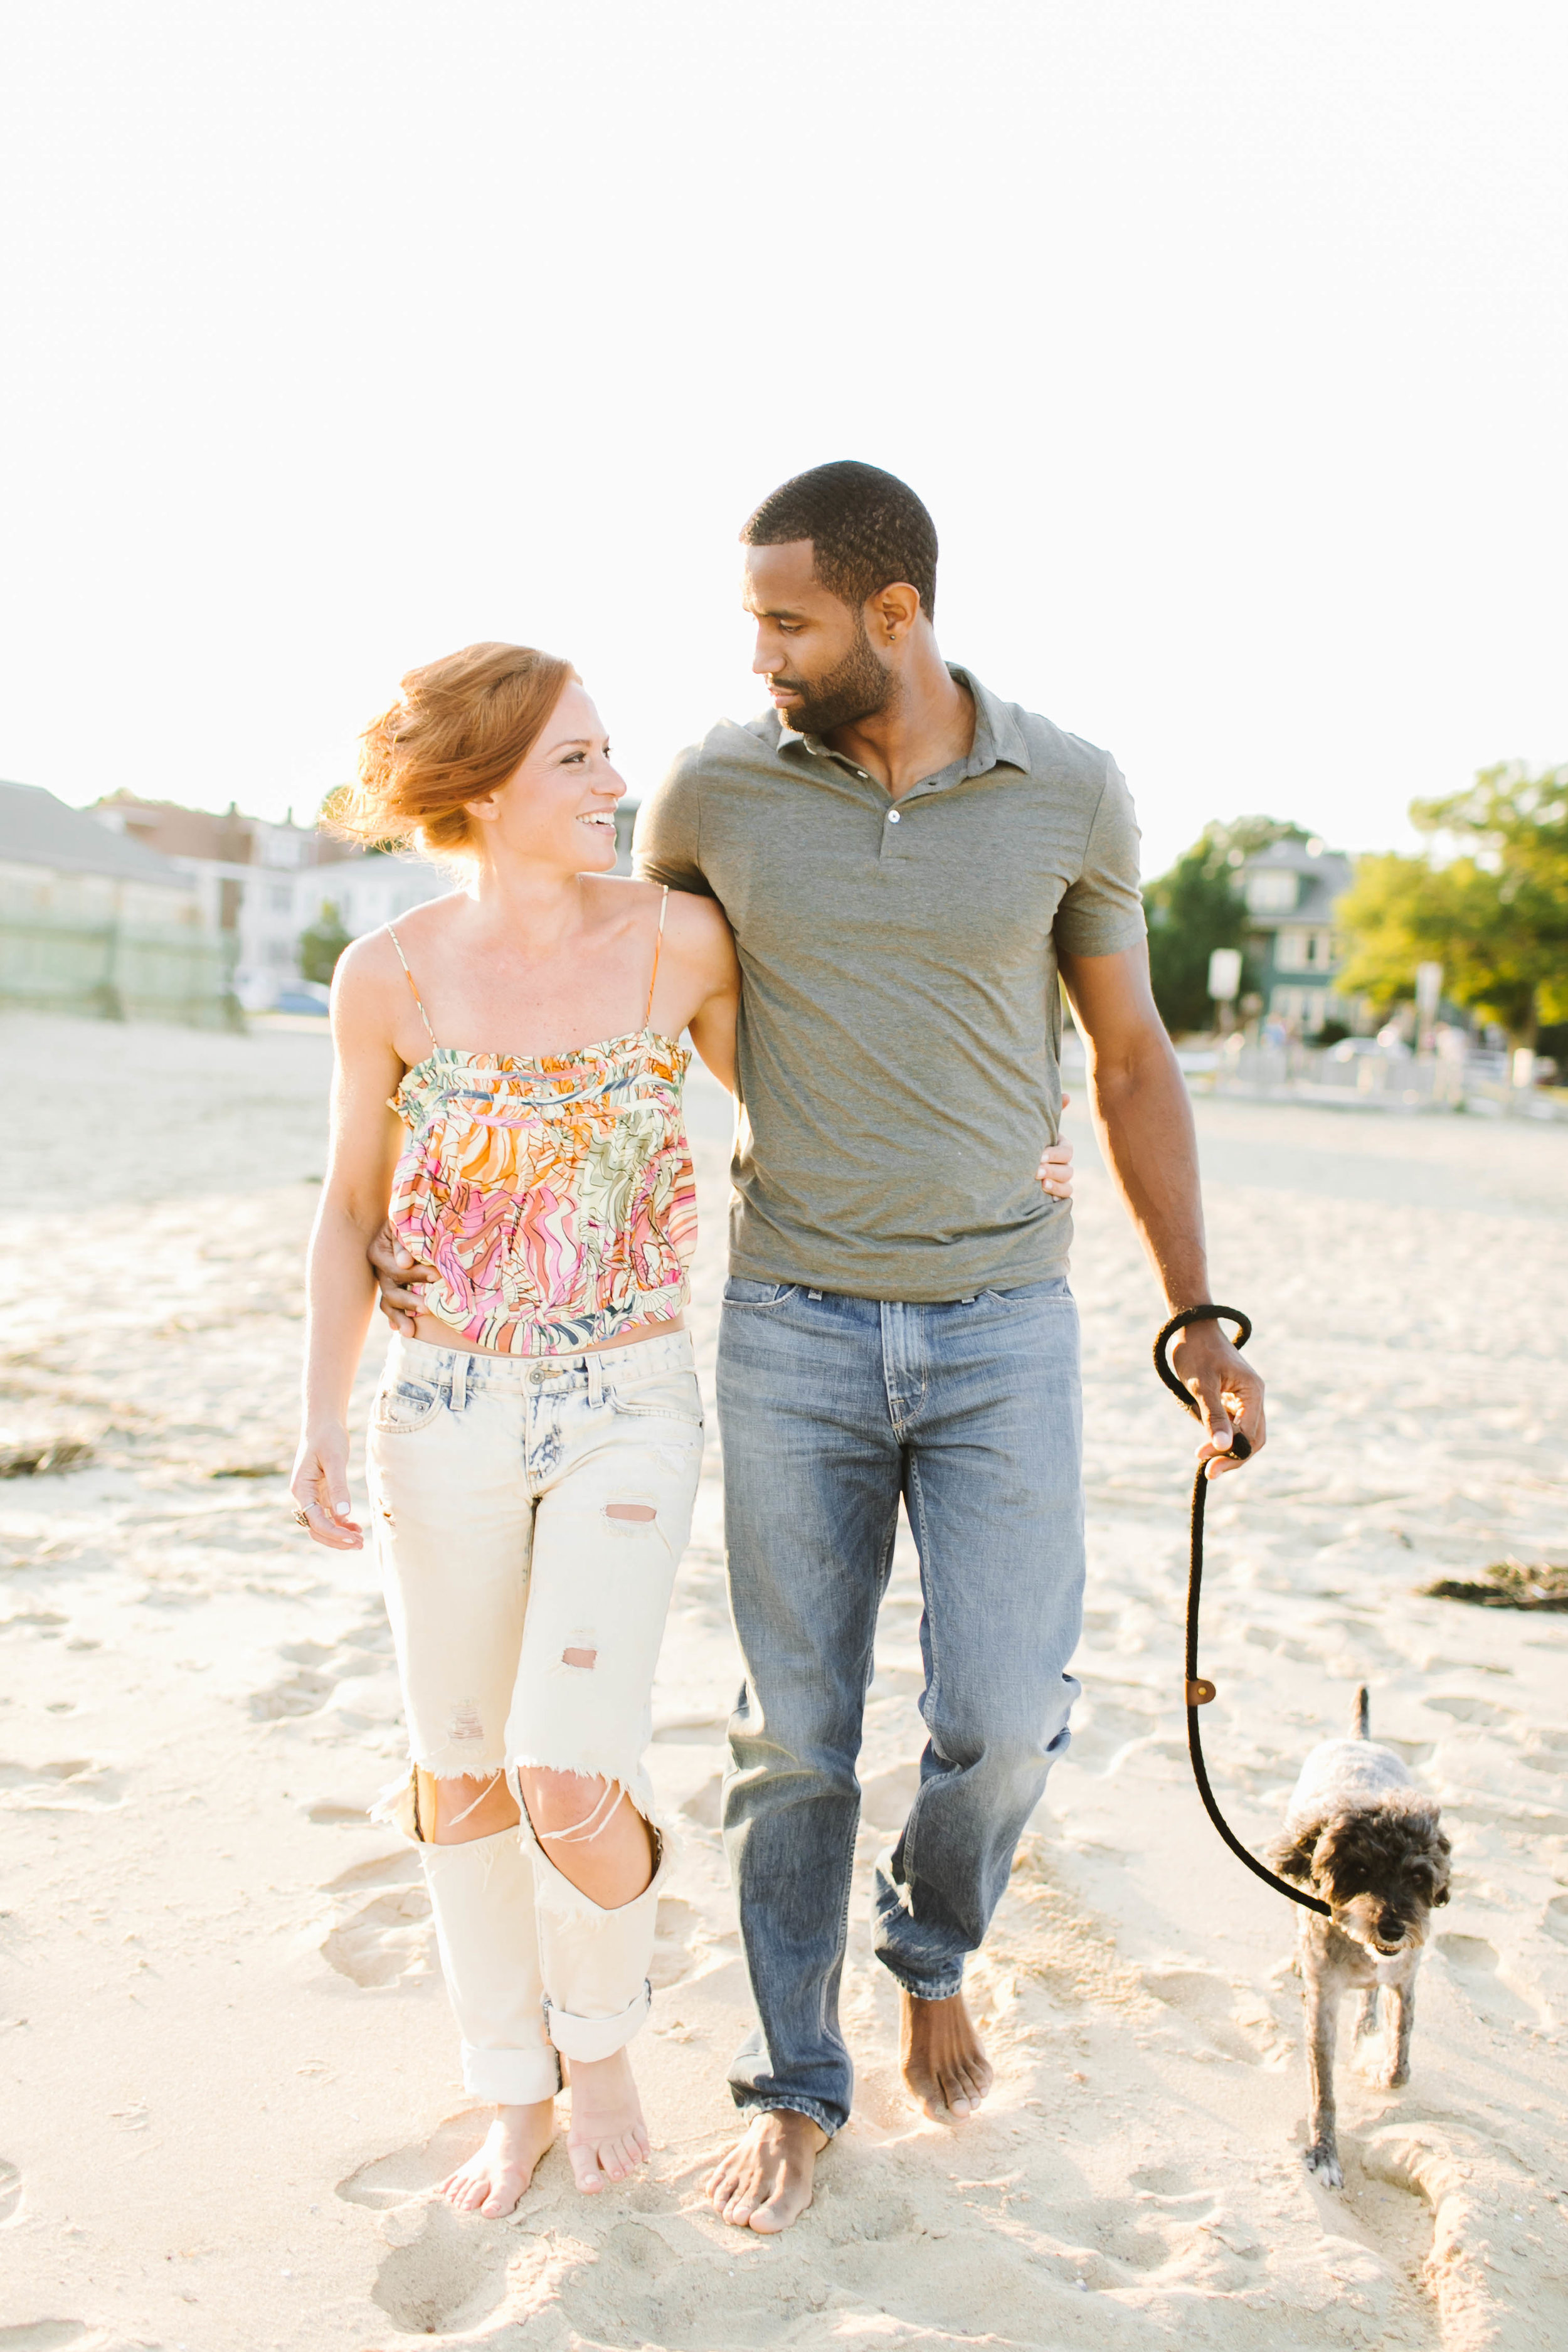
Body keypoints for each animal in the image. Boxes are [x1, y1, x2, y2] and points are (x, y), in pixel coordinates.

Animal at [1269, 1693, 1457, 2183]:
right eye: (1358, 1870)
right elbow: (1323, 2089)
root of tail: (1360, 1739)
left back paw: (1368, 2023)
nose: (1392, 1928)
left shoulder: (1404, 1981)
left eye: (1417, 1876)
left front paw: (1376, 2066)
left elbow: (1400, 2064)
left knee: (1372, 1999)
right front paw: (1324, 2152)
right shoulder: (1323, 2004)